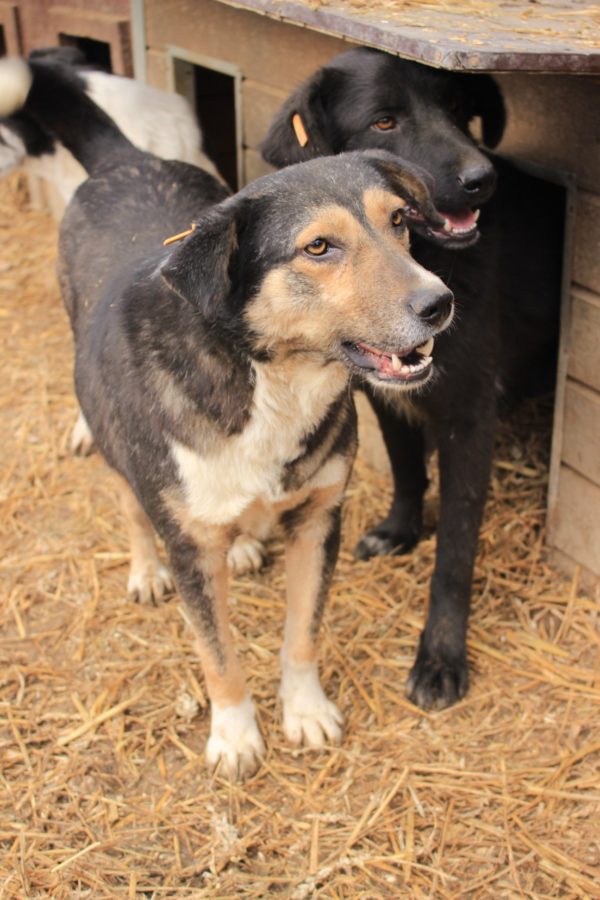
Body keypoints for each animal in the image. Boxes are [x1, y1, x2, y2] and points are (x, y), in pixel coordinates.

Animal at [2, 56, 454, 776]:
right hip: (111, 430)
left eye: (400, 222)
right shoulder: (190, 550)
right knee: (127, 500)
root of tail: (127, 159)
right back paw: (144, 569)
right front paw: (236, 735)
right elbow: (219, 656)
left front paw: (305, 711)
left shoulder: (319, 521)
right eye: (319, 248)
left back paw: (241, 543)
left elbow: (302, 635)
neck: (268, 382)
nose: (439, 303)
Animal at [262, 47, 564, 712]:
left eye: (456, 107)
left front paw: (442, 657)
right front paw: (401, 530)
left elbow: (454, 550)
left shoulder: (469, 418)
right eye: (383, 122)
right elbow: (404, 467)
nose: (481, 178)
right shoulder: (385, 393)